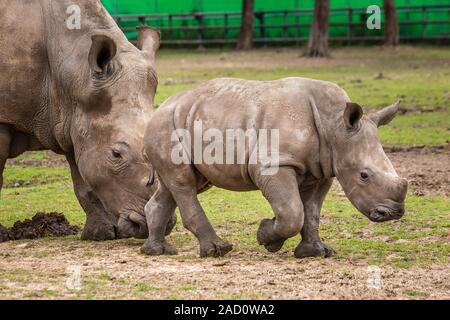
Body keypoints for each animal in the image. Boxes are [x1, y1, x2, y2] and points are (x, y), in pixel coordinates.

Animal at [142, 79, 408, 258]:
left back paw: (157, 251)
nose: (393, 213)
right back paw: (218, 250)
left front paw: (316, 252)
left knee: (180, 185)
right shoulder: (273, 163)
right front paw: (266, 238)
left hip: (184, 122)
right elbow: (292, 212)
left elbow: (311, 212)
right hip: (166, 126)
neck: (334, 125)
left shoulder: (322, 169)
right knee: (184, 182)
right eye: (364, 176)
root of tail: (159, 108)